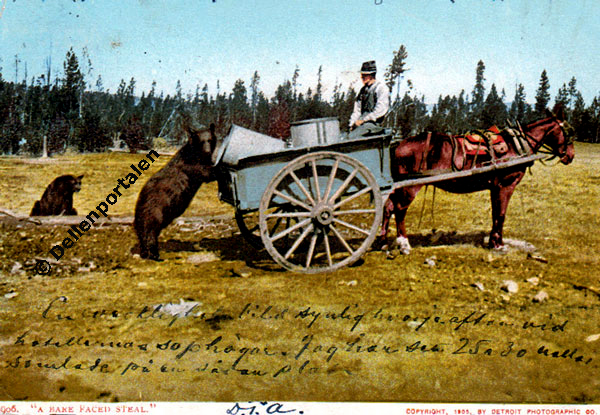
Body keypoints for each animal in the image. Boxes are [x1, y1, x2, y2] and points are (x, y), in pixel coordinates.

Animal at [133, 114, 216, 260]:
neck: (195, 154)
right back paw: (155, 254)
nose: (207, 152)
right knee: (150, 231)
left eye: (210, 140)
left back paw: (145, 253)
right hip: (154, 210)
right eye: (201, 142)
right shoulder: (191, 166)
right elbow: (206, 173)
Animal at [380, 103, 576, 254]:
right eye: (568, 132)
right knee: (399, 210)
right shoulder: (506, 185)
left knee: (388, 207)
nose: (571, 156)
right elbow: (501, 214)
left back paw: (383, 241)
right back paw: (404, 243)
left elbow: (495, 213)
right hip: (409, 187)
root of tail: (399, 144)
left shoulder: (495, 187)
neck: (517, 145)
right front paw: (499, 245)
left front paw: (493, 242)